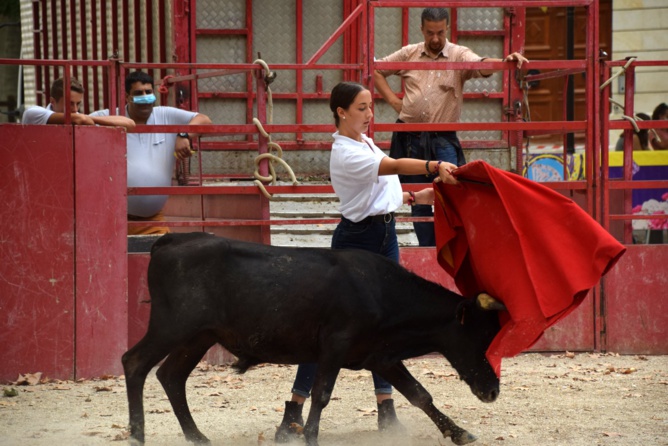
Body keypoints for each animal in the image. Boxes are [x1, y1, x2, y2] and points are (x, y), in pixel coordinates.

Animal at [122, 232, 504, 444]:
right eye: (480, 337)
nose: (492, 391)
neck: (383, 293)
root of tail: (170, 240)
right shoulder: (335, 346)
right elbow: (321, 395)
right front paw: (310, 437)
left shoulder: (379, 356)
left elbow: (419, 394)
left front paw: (459, 433)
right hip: (171, 327)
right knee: (135, 362)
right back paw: (137, 434)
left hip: (198, 337)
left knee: (171, 375)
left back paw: (197, 436)